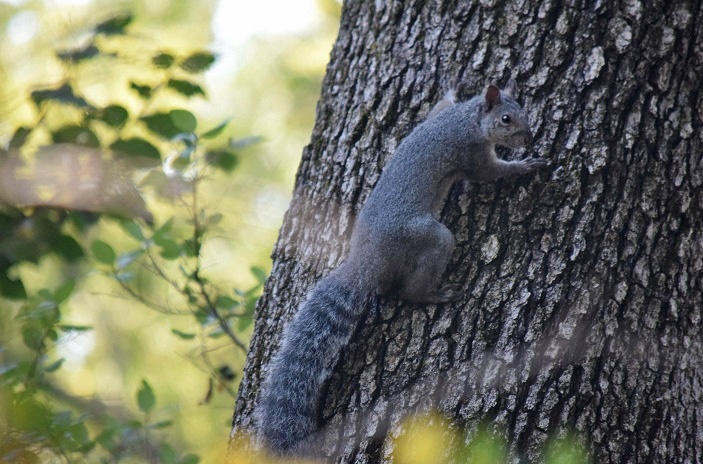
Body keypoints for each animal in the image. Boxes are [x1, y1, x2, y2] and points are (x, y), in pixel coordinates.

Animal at [256, 79, 548, 454]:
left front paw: (452, 88)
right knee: (411, 290)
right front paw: (526, 165)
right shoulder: (471, 153)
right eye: (507, 119)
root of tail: (366, 260)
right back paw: (434, 295)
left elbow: (438, 106)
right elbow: (491, 173)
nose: (529, 138)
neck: (467, 119)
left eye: (522, 109)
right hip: (433, 239)